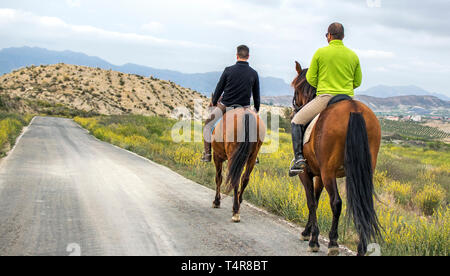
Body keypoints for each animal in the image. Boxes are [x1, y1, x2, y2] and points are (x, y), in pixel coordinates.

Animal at [292, 61, 384, 256]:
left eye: (295, 86)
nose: (295, 108)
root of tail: (354, 110)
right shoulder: (318, 174)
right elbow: (316, 199)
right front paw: (308, 231)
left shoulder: (306, 173)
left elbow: (311, 201)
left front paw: (312, 238)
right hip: (361, 172)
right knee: (363, 205)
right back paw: (361, 248)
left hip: (329, 172)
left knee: (336, 203)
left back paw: (333, 243)